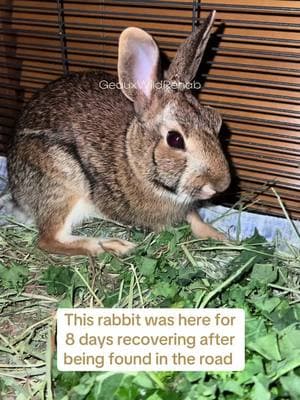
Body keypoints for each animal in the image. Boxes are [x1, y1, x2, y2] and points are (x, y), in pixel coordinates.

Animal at [8, 12, 231, 258]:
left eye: (217, 121)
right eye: (175, 139)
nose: (222, 185)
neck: (132, 157)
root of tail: (17, 194)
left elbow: (194, 218)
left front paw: (222, 237)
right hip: (62, 182)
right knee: (49, 239)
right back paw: (114, 245)